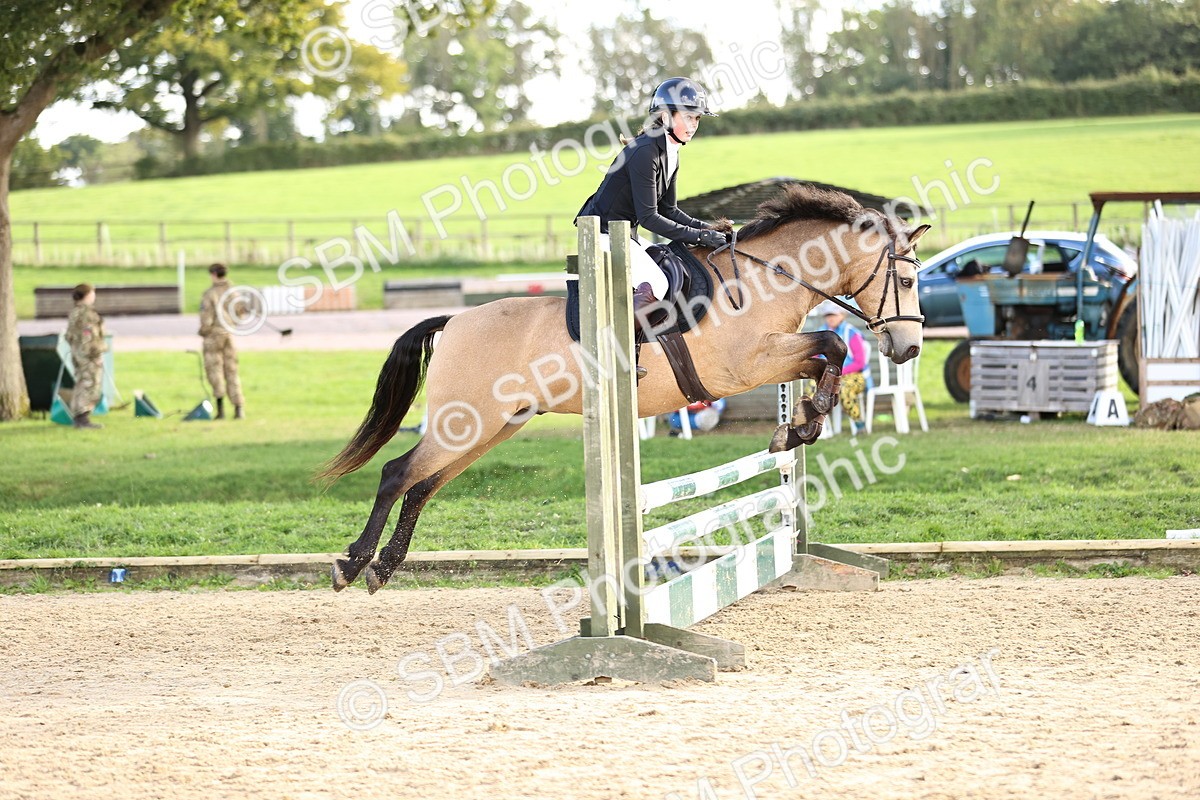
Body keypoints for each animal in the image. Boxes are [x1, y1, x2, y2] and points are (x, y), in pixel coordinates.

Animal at [319, 185, 930, 593]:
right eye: (905, 278)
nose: (908, 349)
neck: (765, 278)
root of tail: (455, 320)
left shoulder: (775, 356)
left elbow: (826, 353)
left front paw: (797, 425)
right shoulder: (746, 365)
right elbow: (830, 342)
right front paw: (801, 424)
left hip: (493, 425)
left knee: (422, 485)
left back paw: (383, 566)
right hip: (466, 419)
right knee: (398, 473)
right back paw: (353, 564)